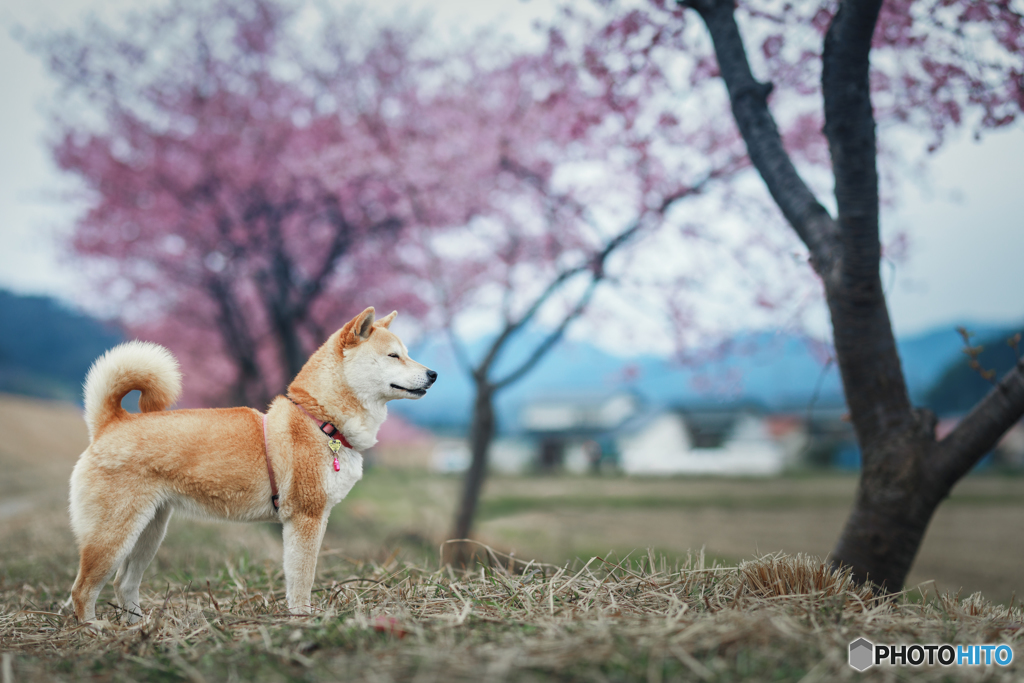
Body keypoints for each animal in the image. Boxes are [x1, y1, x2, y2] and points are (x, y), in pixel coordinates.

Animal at [67, 309, 436, 626]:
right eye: (394, 356)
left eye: (406, 353)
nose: (433, 374)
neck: (321, 420)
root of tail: (111, 422)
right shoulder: (307, 518)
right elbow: (302, 579)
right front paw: (303, 619)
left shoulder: (308, 520)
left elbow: (295, 578)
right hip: (113, 536)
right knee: (82, 590)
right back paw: (92, 629)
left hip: (149, 532)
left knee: (124, 584)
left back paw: (139, 627)